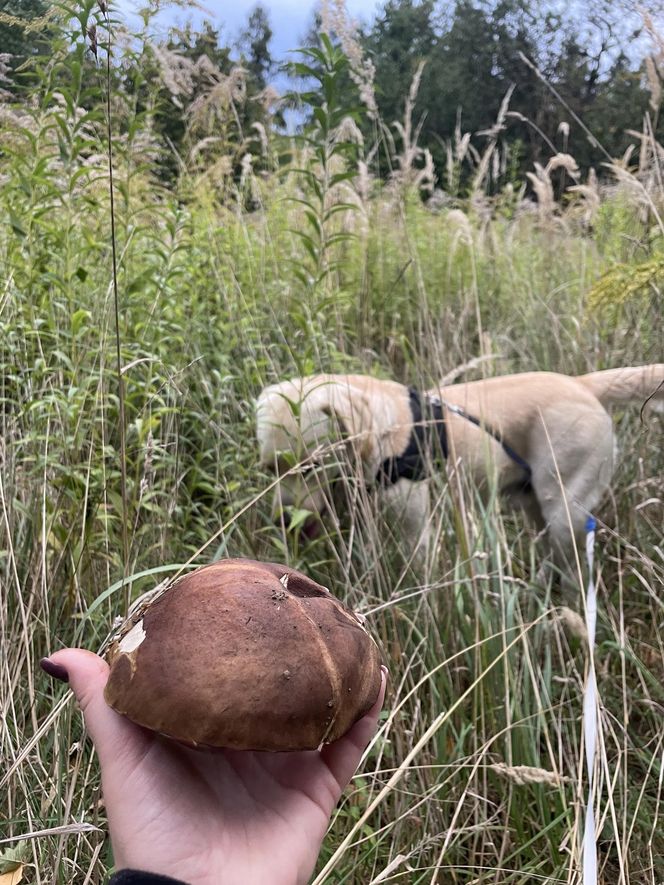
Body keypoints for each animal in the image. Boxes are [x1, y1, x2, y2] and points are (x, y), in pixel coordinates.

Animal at [255, 366, 664, 560]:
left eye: (309, 467)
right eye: (269, 470)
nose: (282, 522)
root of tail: (581, 384)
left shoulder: (415, 532)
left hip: (565, 511)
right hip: (535, 505)